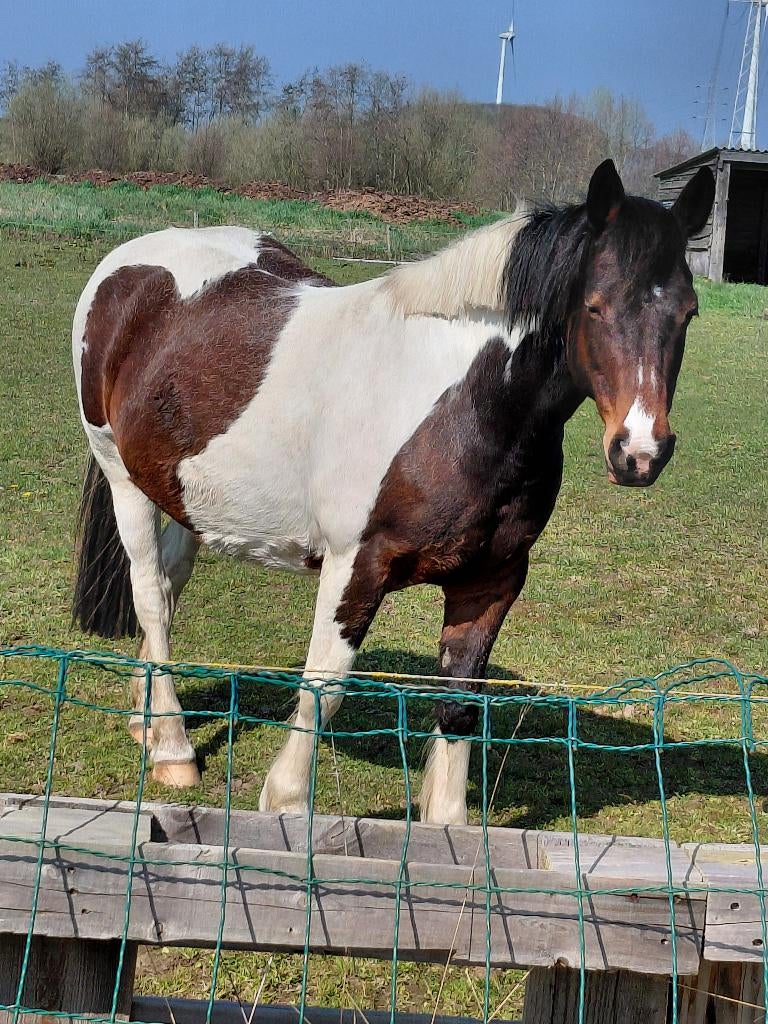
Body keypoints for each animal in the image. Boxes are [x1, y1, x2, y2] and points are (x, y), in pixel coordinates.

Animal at [71, 159, 715, 824]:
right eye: (594, 306)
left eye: (688, 313)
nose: (640, 451)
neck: (463, 407)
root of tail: (129, 262)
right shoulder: (355, 565)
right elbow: (324, 687)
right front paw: (286, 802)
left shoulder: (491, 581)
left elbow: (461, 703)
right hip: (125, 481)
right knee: (151, 596)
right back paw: (172, 746)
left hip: (186, 496)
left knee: (169, 588)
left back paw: (145, 718)